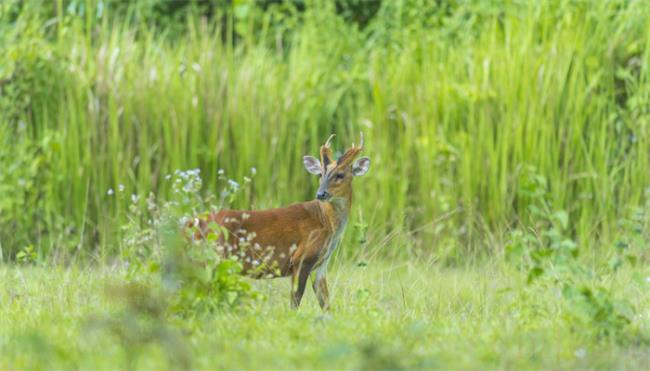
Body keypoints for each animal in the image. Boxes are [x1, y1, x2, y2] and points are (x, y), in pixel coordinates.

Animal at [187, 134, 370, 310]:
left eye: (340, 175)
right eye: (320, 174)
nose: (320, 194)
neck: (325, 222)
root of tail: (192, 222)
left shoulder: (320, 264)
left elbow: (326, 305)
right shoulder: (301, 257)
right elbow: (295, 302)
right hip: (212, 256)